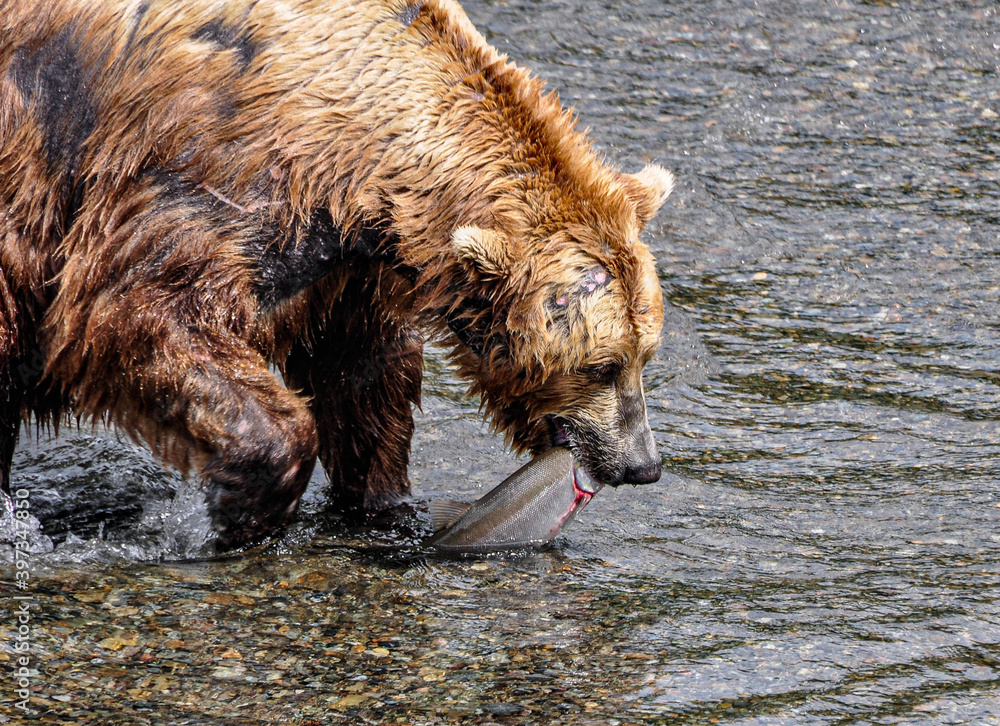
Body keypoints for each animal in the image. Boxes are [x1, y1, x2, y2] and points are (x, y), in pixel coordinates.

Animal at [0, 0, 673, 549]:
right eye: (602, 365)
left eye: (646, 355)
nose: (643, 465)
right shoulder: (203, 175)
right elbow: (140, 313)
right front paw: (239, 515)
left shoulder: (349, 270)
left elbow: (362, 378)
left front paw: (383, 503)